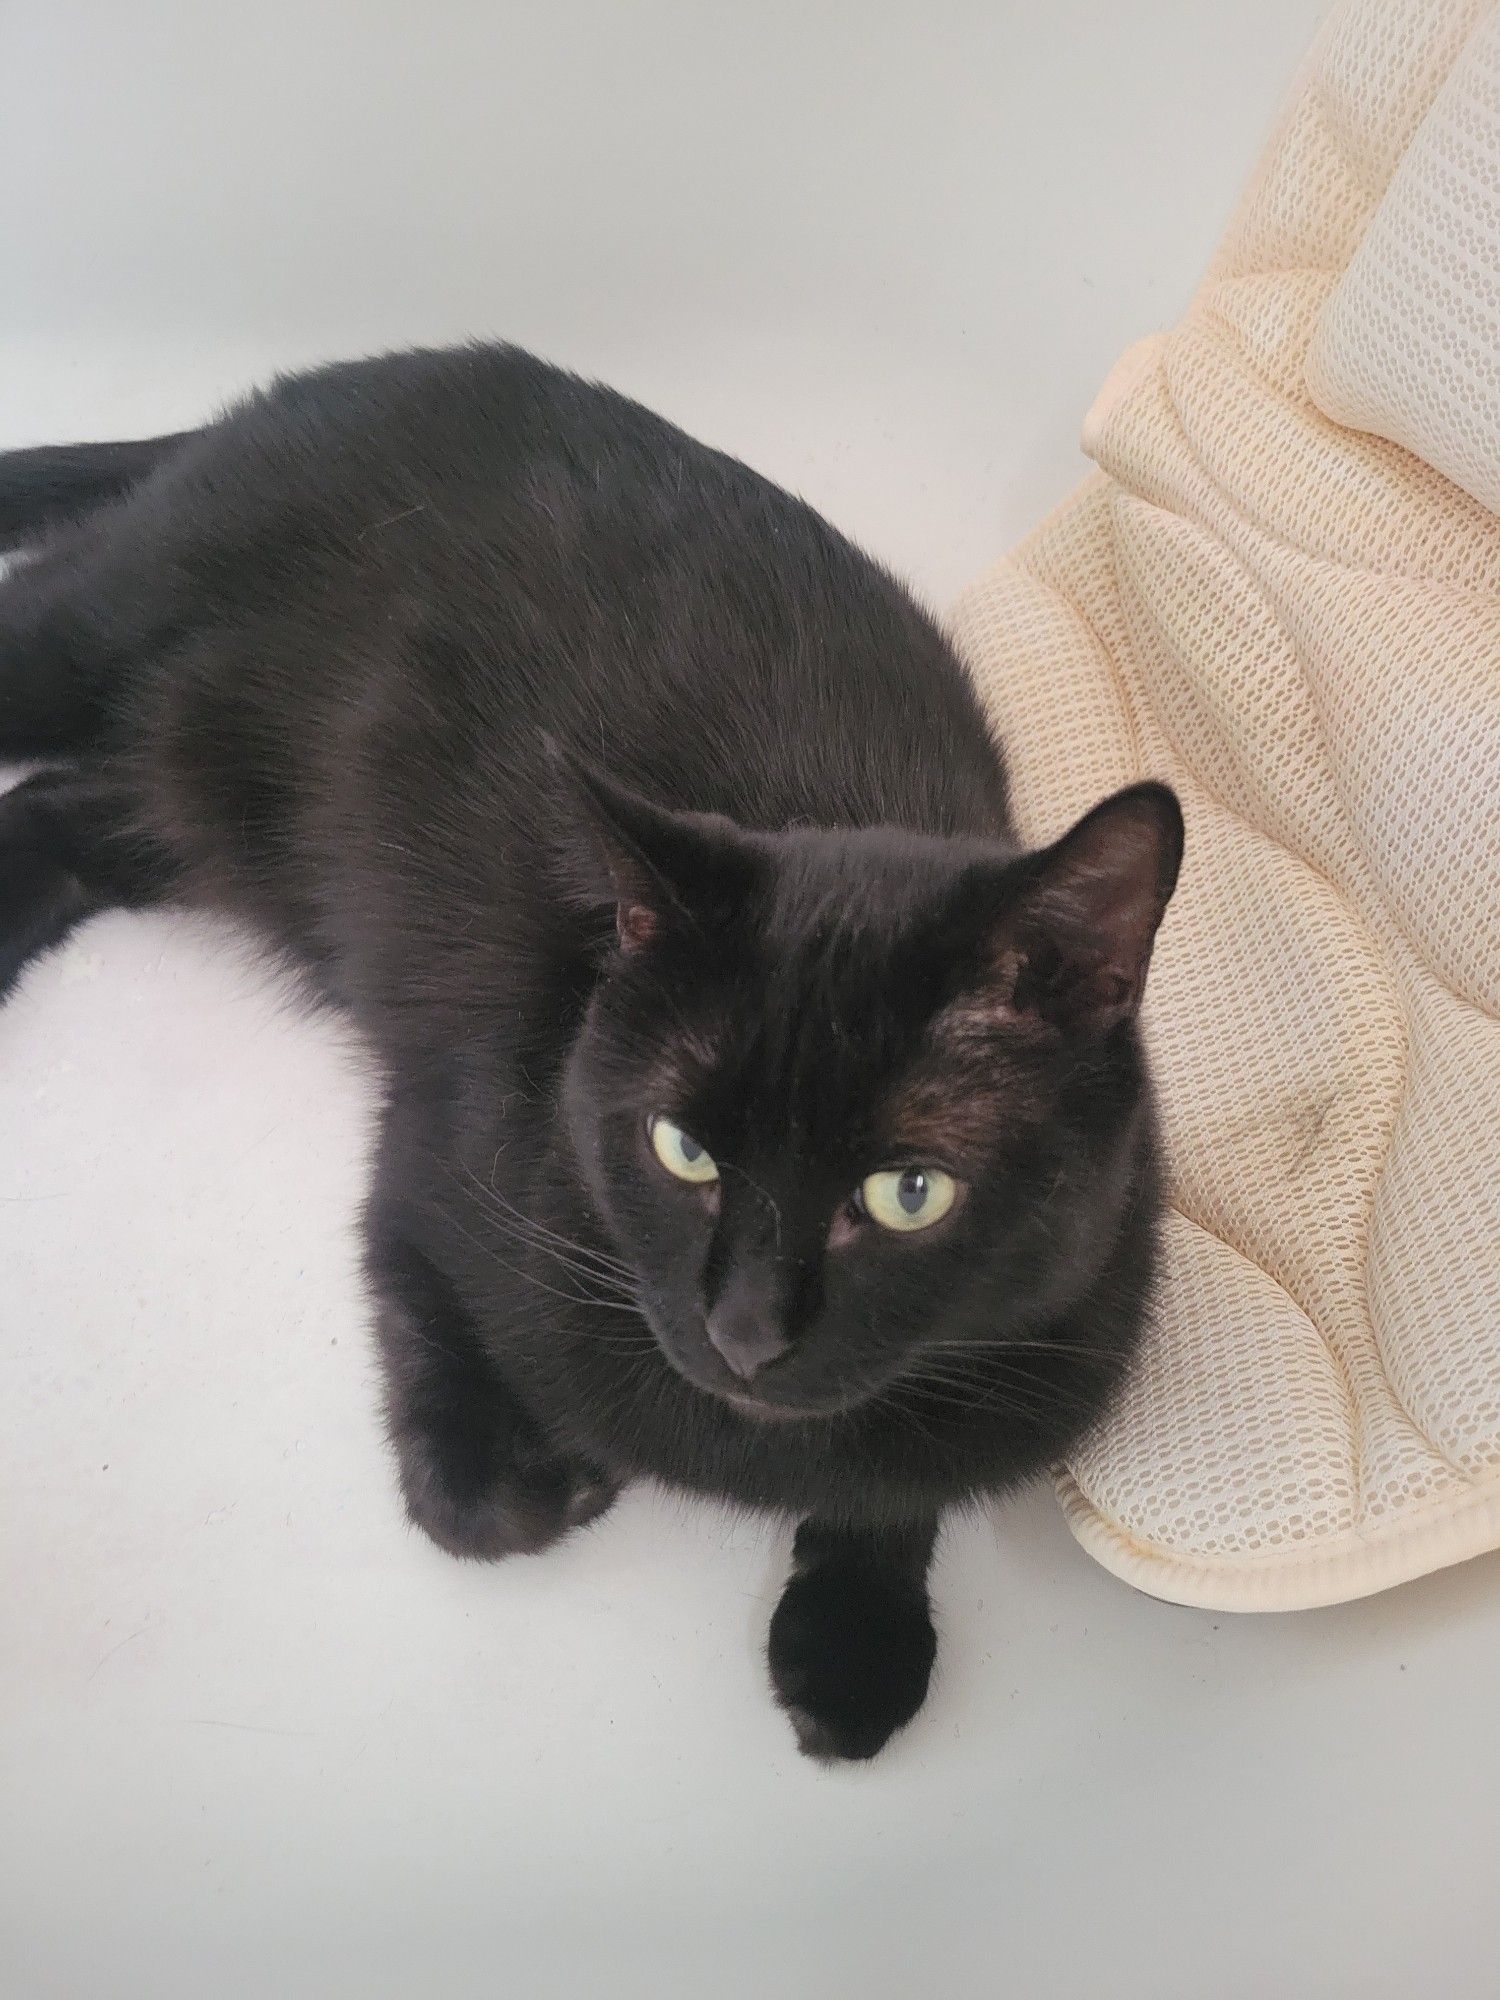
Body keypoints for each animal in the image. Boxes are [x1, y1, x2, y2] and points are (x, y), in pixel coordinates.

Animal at [0, 344, 1184, 1752]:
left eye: (910, 1192)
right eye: (681, 1147)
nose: (743, 1329)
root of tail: (366, 370)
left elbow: (905, 1480)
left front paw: (856, 1638)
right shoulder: (440, 1151)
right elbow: (454, 1402)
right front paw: (534, 1470)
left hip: (211, 793)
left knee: (61, 806)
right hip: (94, 635)